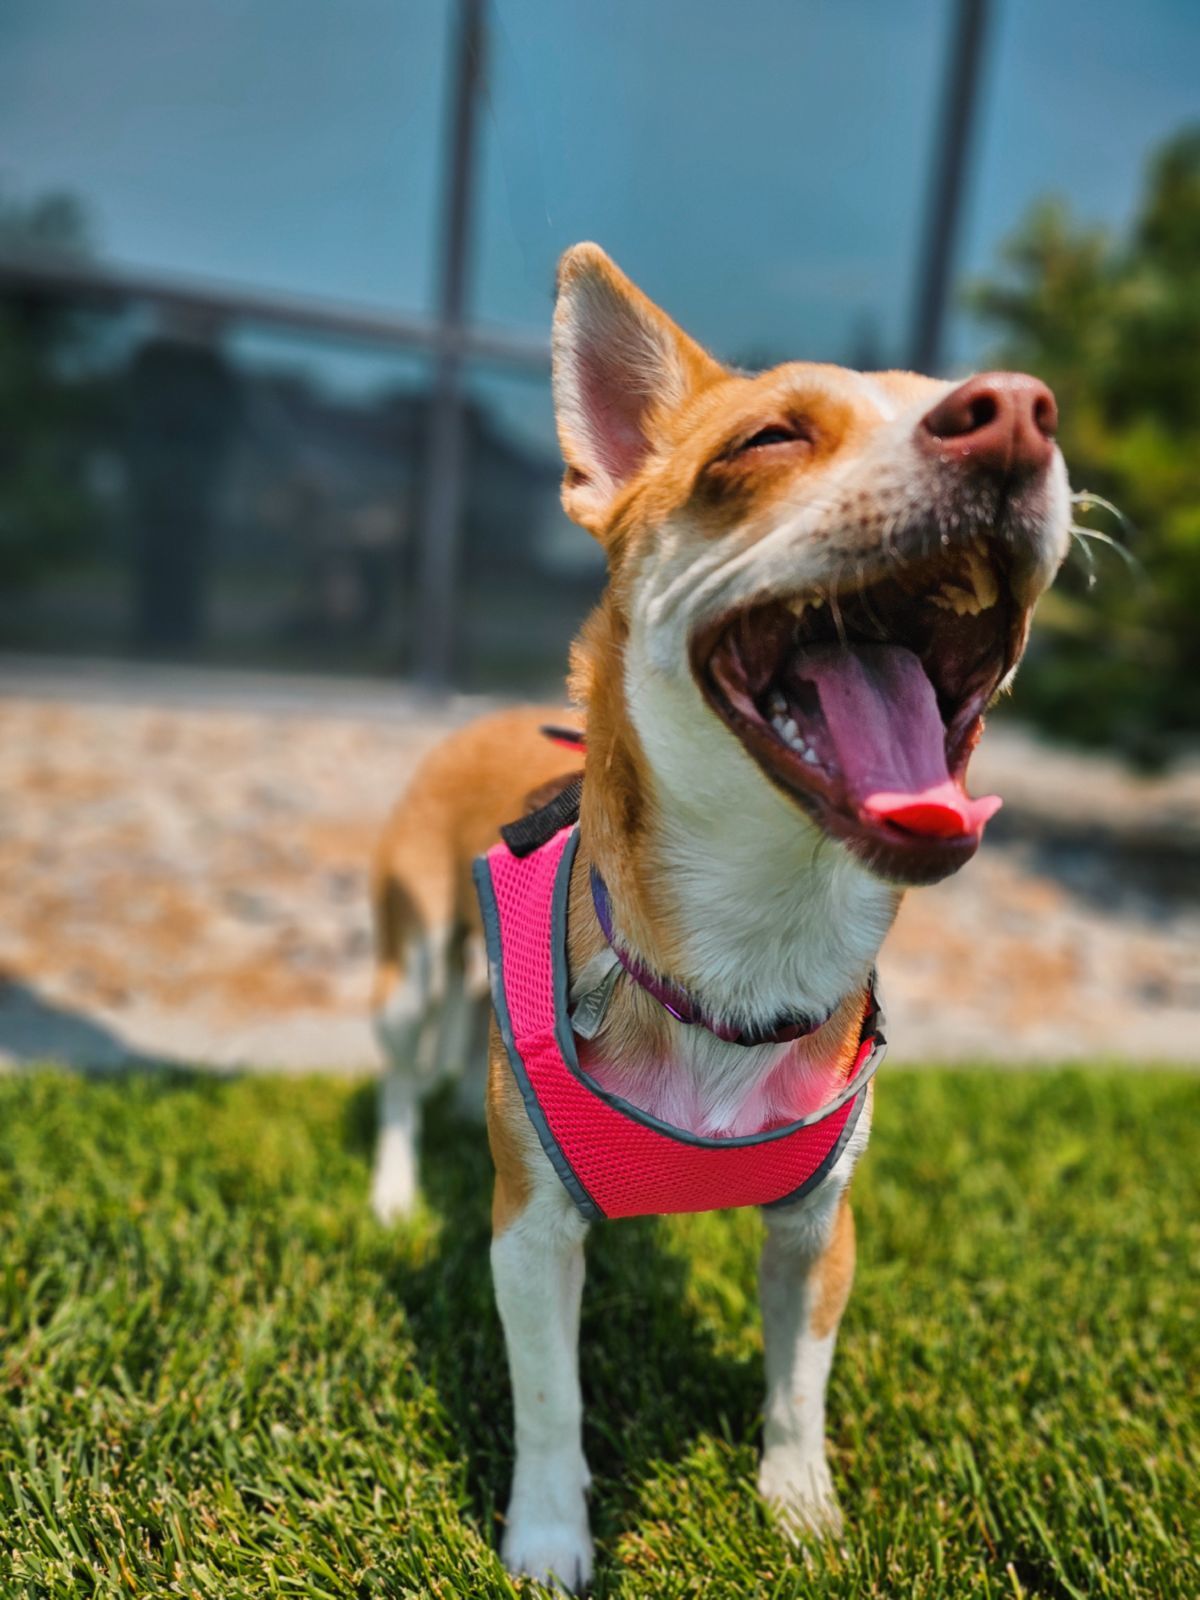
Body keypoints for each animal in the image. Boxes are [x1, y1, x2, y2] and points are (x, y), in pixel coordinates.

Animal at [369, 243, 1068, 1580]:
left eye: (1039, 414)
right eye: (768, 439)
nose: (1016, 412)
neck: (756, 943)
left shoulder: (817, 1230)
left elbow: (800, 1386)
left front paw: (801, 1511)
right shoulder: (531, 1238)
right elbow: (552, 1402)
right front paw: (548, 1539)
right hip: (408, 964)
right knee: (395, 1076)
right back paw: (388, 1191)